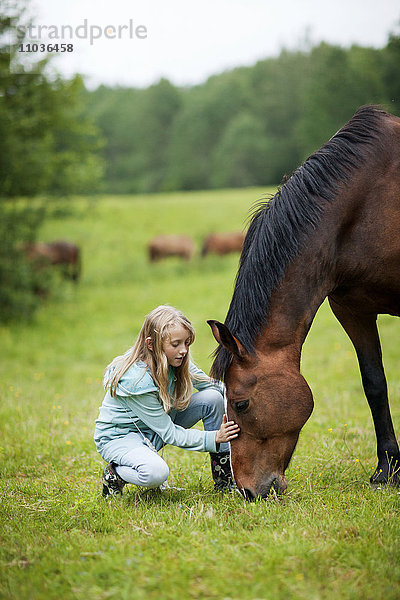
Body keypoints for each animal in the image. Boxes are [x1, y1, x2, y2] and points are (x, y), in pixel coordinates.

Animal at [208, 105, 400, 500]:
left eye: (241, 403)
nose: (247, 490)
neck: (367, 203)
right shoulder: (351, 310)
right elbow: (375, 384)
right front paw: (387, 470)